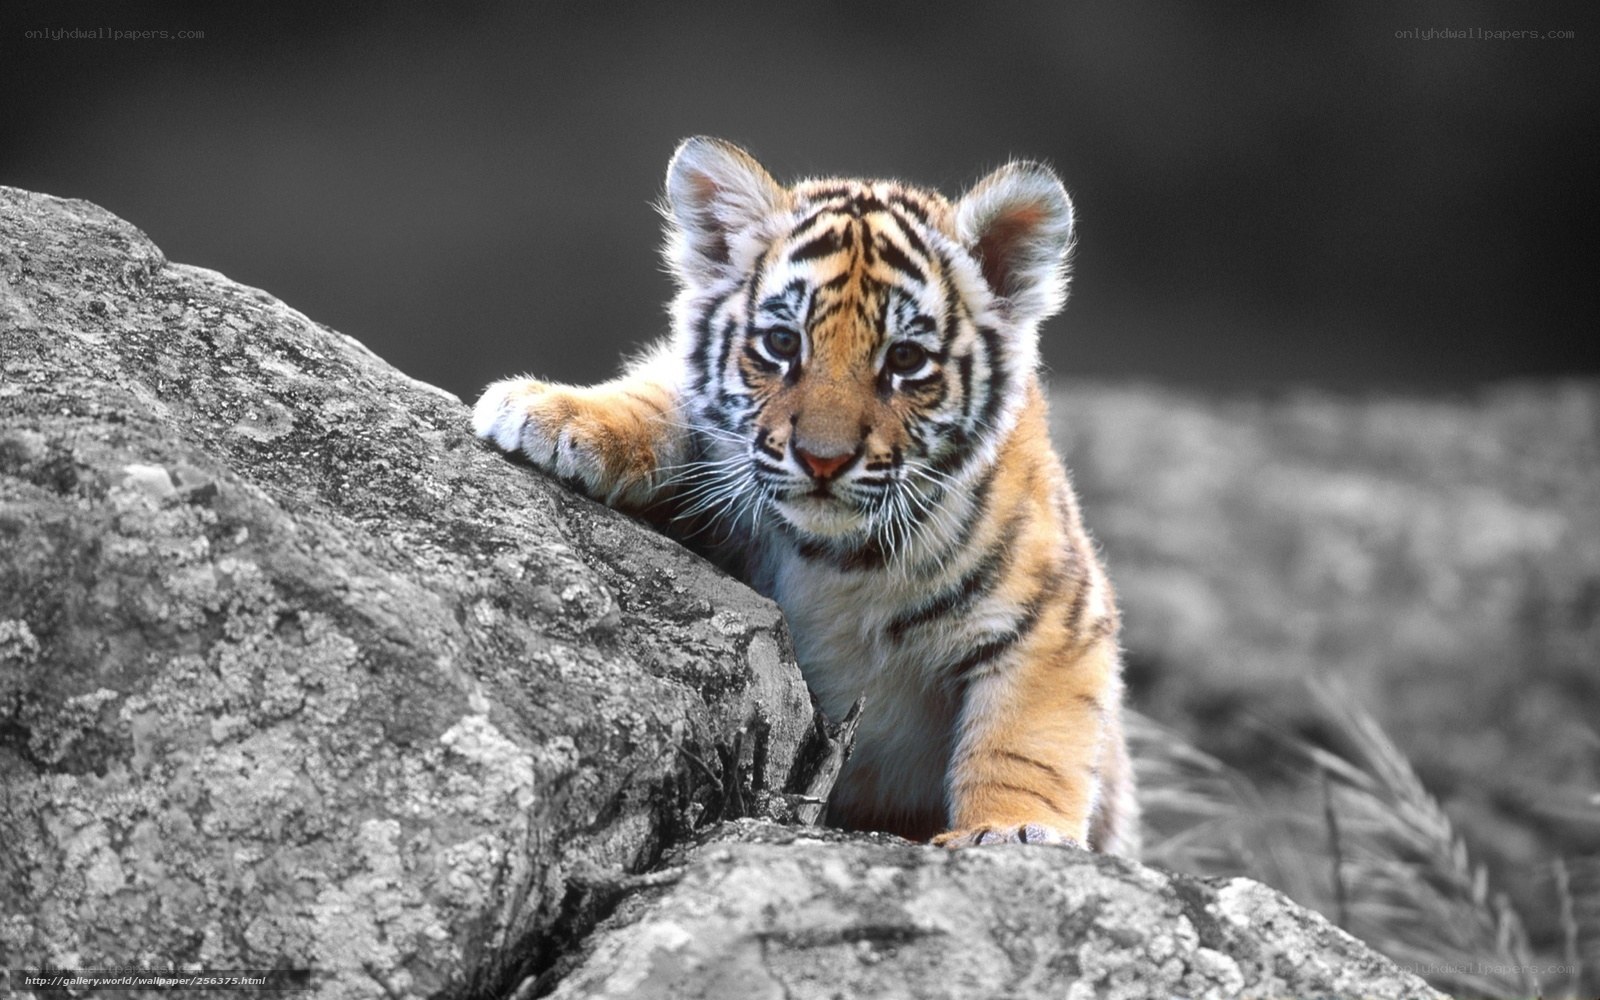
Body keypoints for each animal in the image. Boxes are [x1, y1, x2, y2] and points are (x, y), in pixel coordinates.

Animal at [474, 137, 1138, 855]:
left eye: (905, 360)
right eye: (782, 343)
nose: (823, 459)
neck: (837, 558)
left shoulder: (1057, 619)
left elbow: (1025, 743)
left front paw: (1011, 831)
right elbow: (662, 397)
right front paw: (551, 413)